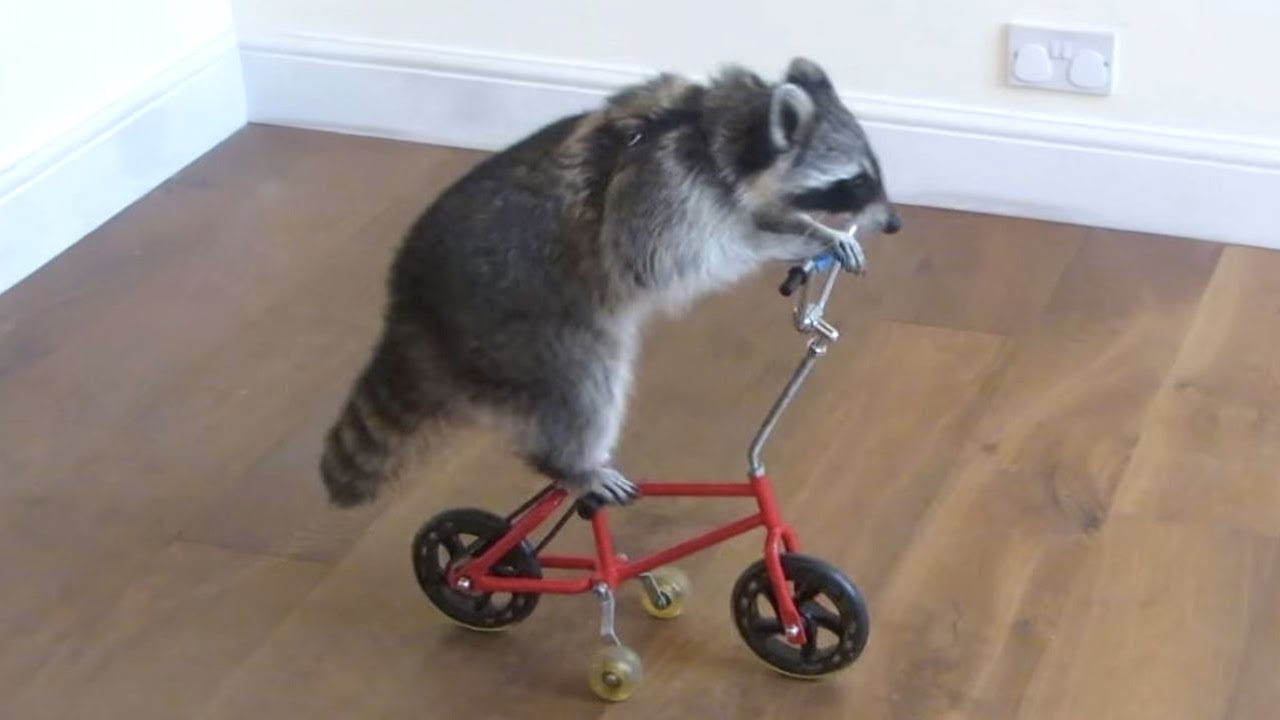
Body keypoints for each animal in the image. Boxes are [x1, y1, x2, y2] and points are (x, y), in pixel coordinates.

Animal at [320, 57, 901, 509]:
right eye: (856, 181)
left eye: (875, 172)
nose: (895, 223)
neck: (718, 129)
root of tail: (410, 306)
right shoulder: (665, 193)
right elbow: (676, 258)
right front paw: (786, 240)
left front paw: (813, 227)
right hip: (521, 329)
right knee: (585, 384)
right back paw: (571, 464)